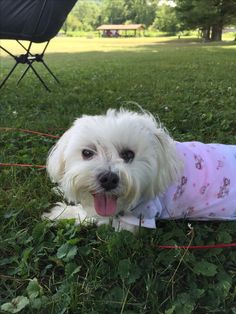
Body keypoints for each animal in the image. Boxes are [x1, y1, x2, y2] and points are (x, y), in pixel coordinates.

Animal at [43, 108, 236, 231]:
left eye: (129, 154)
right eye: (87, 153)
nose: (109, 178)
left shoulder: (137, 219)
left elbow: (95, 216)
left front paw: (60, 213)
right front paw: (61, 191)